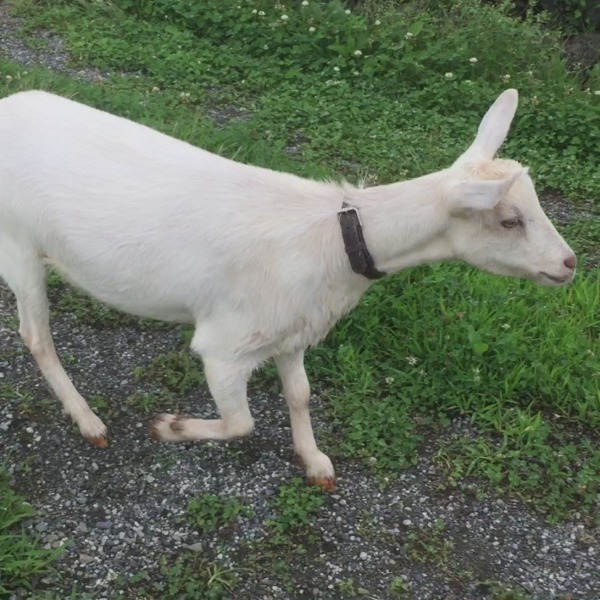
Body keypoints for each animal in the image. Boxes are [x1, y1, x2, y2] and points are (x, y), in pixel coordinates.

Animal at [0, 88, 575, 490]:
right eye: (509, 220)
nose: (568, 264)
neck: (333, 242)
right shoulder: (225, 344)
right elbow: (241, 422)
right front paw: (169, 428)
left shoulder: (294, 326)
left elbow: (300, 394)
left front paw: (315, 461)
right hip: (19, 245)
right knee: (36, 335)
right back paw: (87, 419)